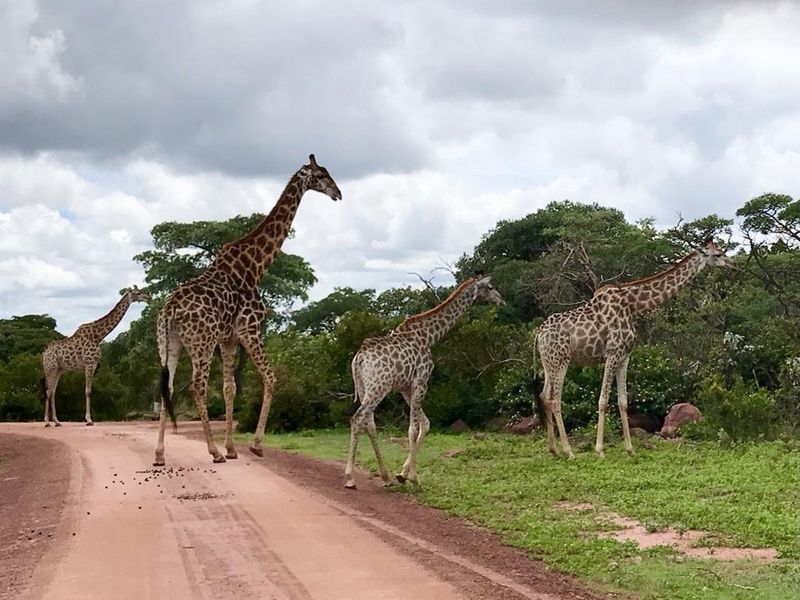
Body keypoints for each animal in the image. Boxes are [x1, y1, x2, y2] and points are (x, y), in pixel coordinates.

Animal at [41, 286, 151, 426]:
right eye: (138, 293)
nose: (149, 298)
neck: (99, 336)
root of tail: (44, 353)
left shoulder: (93, 365)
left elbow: (89, 391)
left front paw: (88, 419)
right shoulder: (89, 363)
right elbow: (88, 391)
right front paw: (89, 420)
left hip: (59, 369)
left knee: (52, 391)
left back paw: (56, 421)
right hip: (50, 367)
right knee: (48, 391)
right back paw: (47, 421)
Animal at [153, 155, 341, 466]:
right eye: (321, 175)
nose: (338, 193)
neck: (255, 266)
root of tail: (170, 309)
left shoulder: (228, 338)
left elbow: (230, 389)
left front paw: (232, 448)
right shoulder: (249, 330)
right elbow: (271, 377)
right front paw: (254, 445)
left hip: (169, 343)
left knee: (165, 386)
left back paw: (159, 454)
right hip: (201, 343)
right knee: (197, 386)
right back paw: (213, 452)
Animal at [344, 276, 505, 489]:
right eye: (491, 287)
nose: (502, 301)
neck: (429, 336)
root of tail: (359, 358)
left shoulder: (406, 388)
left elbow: (425, 424)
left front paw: (402, 474)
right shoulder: (421, 380)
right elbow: (413, 429)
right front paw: (412, 477)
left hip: (364, 388)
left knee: (369, 423)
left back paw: (385, 477)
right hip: (379, 387)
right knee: (357, 419)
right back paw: (350, 477)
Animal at [533, 239, 735, 459]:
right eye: (717, 254)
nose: (732, 265)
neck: (634, 306)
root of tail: (538, 334)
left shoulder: (625, 356)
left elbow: (623, 401)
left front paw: (629, 449)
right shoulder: (612, 354)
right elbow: (603, 400)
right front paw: (599, 451)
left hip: (548, 362)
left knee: (544, 395)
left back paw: (553, 449)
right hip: (561, 360)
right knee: (555, 399)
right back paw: (569, 452)